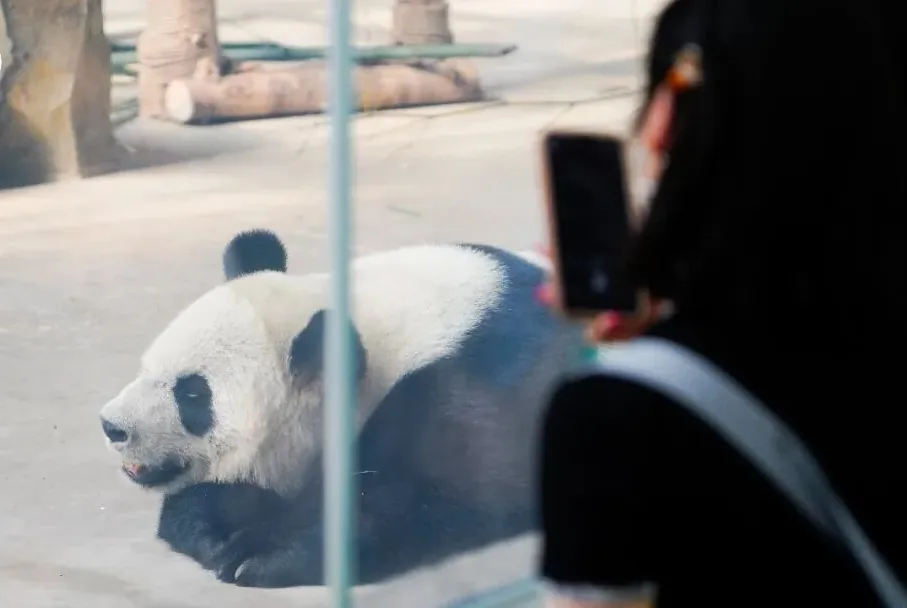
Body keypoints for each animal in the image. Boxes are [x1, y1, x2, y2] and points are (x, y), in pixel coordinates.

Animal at [98, 229, 584, 588]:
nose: (111, 426)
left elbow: (424, 497)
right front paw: (207, 525)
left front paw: (259, 552)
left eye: (193, 395)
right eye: (148, 366)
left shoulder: (468, 391)